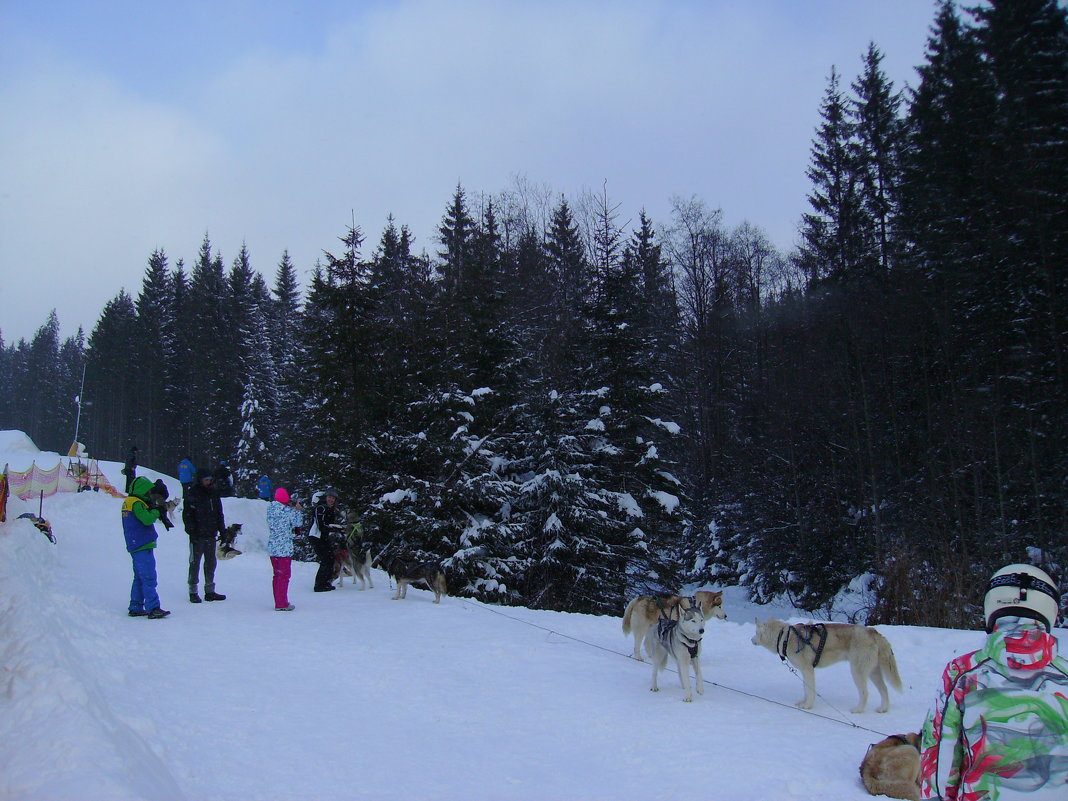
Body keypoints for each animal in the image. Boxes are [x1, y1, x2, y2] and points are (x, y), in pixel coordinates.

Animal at [751, 619, 901, 713]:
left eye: (756, 633)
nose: (751, 639)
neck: (784, 637)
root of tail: (873, 632)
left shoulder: (808, 670)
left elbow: (810, 691)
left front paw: (808, 705)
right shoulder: (805, 672)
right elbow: (806, 689)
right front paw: (803, 702)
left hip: (857, 671)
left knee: (865, 693)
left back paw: (858, 710)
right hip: (874, 672)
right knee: (884, 689)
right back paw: (883, 709)